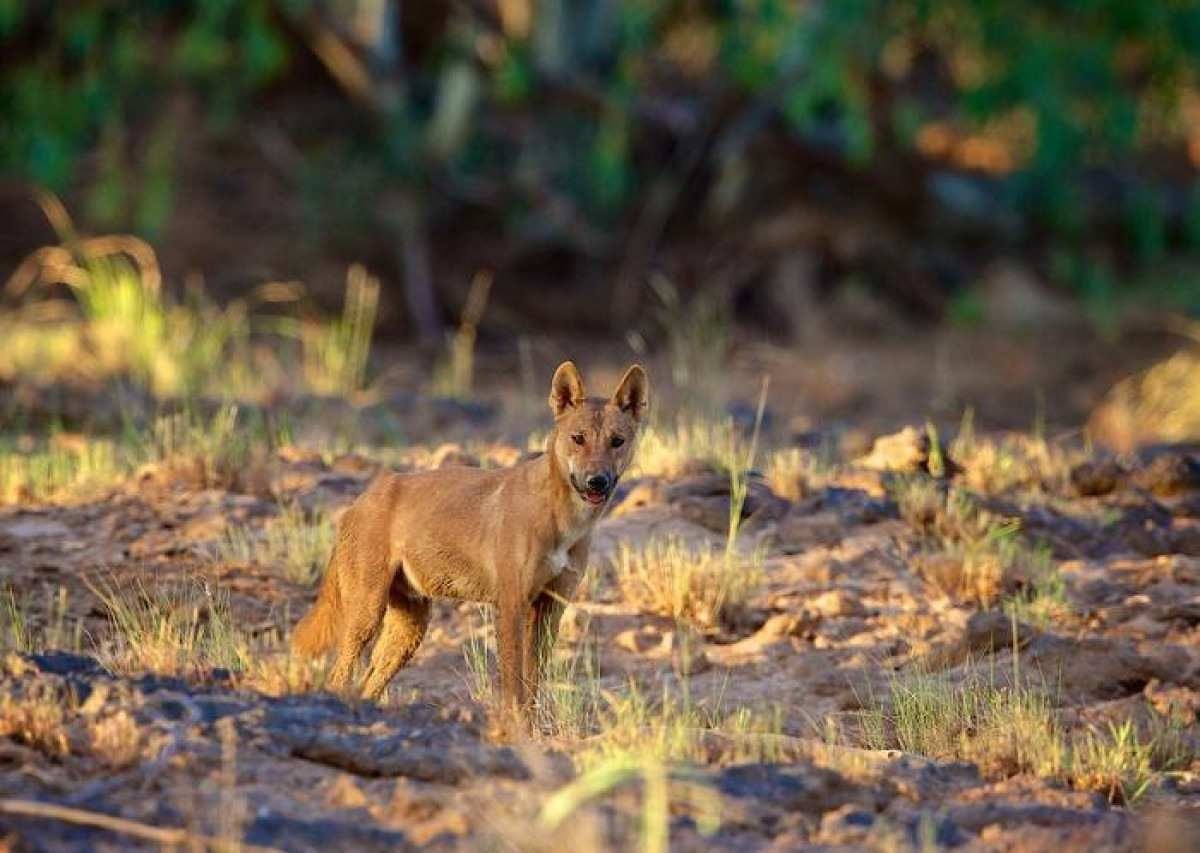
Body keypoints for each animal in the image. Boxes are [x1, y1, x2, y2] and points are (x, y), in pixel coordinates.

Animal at [292, 359, 648, 719]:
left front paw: (532, 728)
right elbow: (514, 684)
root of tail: (360, 500)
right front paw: (514, 726)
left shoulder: (551, 606)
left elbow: (533, 686)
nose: (596, 481)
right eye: (578, 438)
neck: (562, 520)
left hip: (410, 628)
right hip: (367, 613)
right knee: (339, 677)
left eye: (617, 441)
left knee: (367, 684)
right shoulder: (511, 603)